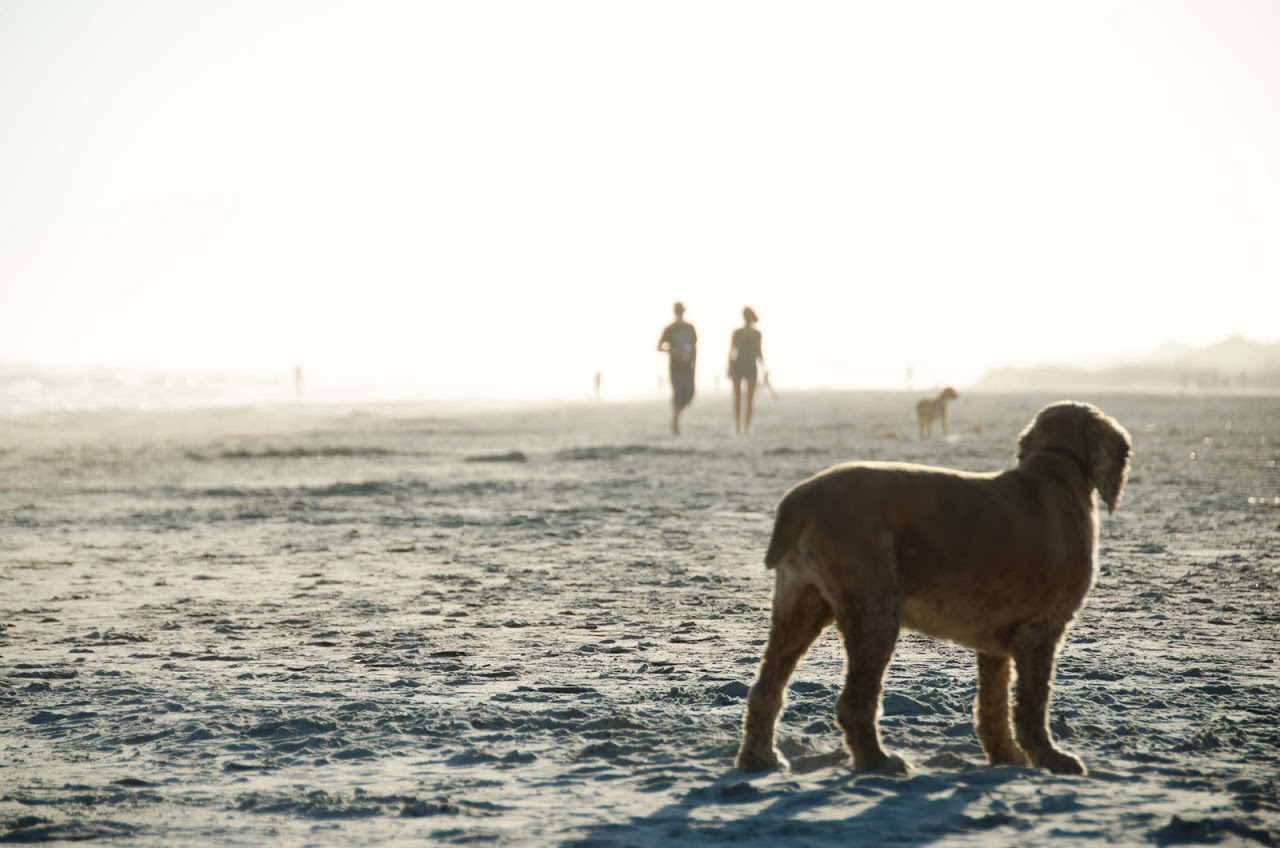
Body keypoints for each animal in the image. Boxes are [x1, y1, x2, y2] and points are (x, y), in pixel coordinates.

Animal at [737, 404, 1136, 778]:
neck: (1055, 469)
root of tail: (798, 502)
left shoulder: (996, 643)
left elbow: (992, 707)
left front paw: (1006, 757)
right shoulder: (1041, 629)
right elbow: (1032, 705)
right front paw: (1050, 758)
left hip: (800, 607)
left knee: (766, 689)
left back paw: (760, 759)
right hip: (874, 612)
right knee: (853, 701)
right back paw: (877, 761)